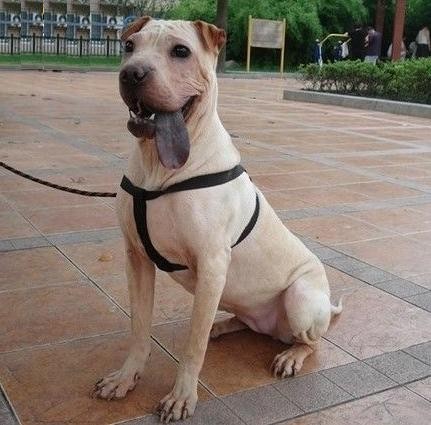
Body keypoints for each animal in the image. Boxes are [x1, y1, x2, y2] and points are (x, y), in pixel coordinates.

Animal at [92, 17, 342, 422]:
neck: (158, 169)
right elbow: (139, 327)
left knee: (313, 341)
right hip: (233, 296)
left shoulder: (211, 264)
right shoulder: (137, 259)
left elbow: (192, 348)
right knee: (244, 323)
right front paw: (126, 378)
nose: (132, 74)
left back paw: (290, 355)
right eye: (129, 46)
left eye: (181, 51)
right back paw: (223, 326)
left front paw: (182, 397)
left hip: (301, 300)